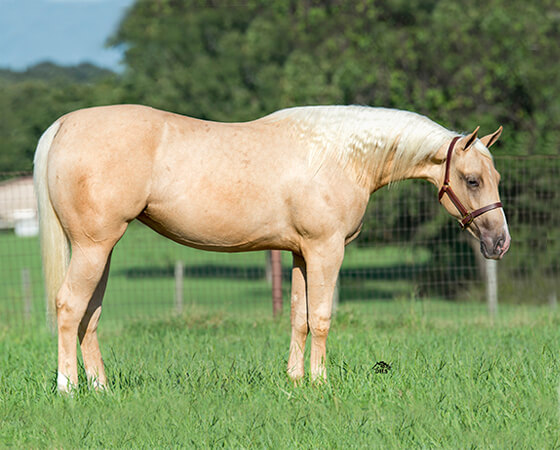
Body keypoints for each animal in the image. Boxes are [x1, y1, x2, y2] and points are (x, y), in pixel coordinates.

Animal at [32, 104, 510, 390]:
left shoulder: (300, 254)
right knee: (69, 307)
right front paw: (319, 383)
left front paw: (295, 382)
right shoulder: (325, 251)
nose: (500, 242)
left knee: (90, 316)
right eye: (472, 180)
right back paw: (68, 388)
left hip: (101, 250)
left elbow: (298, 318)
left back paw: (101, 388)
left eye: (496, 178)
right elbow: (321, 318)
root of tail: (64, 124)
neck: (340, 155)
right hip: (93, 247)